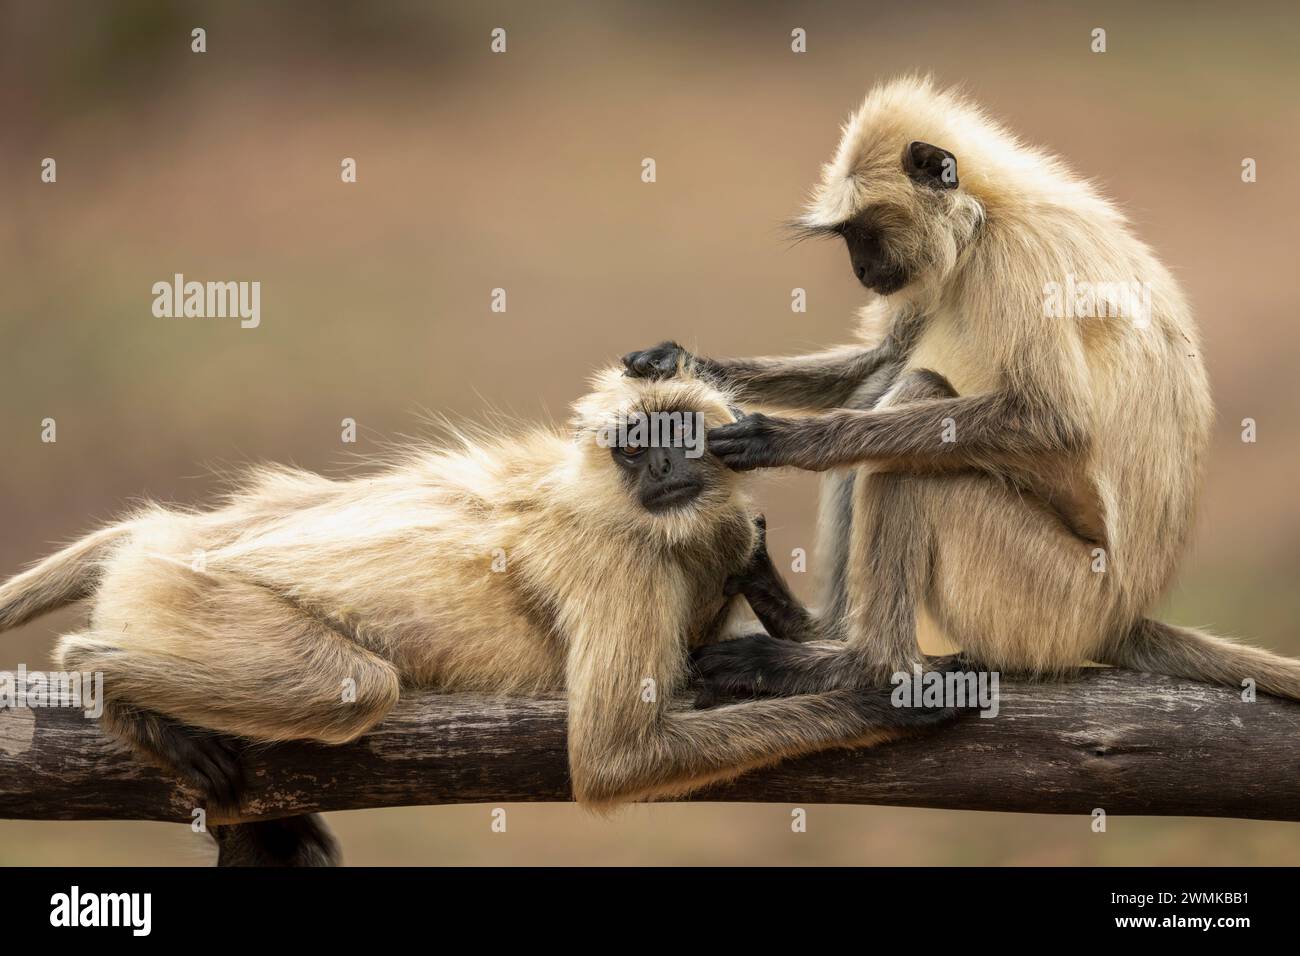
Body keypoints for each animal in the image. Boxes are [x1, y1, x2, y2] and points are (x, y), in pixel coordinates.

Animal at [0, 364, 956, 868]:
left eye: (679, 438)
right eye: (634, 449)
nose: (661, 474)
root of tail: (161, 543)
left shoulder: (704, 529)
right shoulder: (623, 560)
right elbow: (611, 760)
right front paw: (883, 701)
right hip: (191, 596)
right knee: (348, 688)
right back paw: (100, 674)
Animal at [621, 74, 1300, 702]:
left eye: (863, 233)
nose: (860, 270)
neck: (987, 214)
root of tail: (1121, 615)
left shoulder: (1021, 256)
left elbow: (1052, 421)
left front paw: (791, 441)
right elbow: (878, 359)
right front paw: (675, 362)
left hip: (1054, 598)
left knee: (913, 427)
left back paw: (865, 664)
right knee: (885, 386)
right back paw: (815, 628)